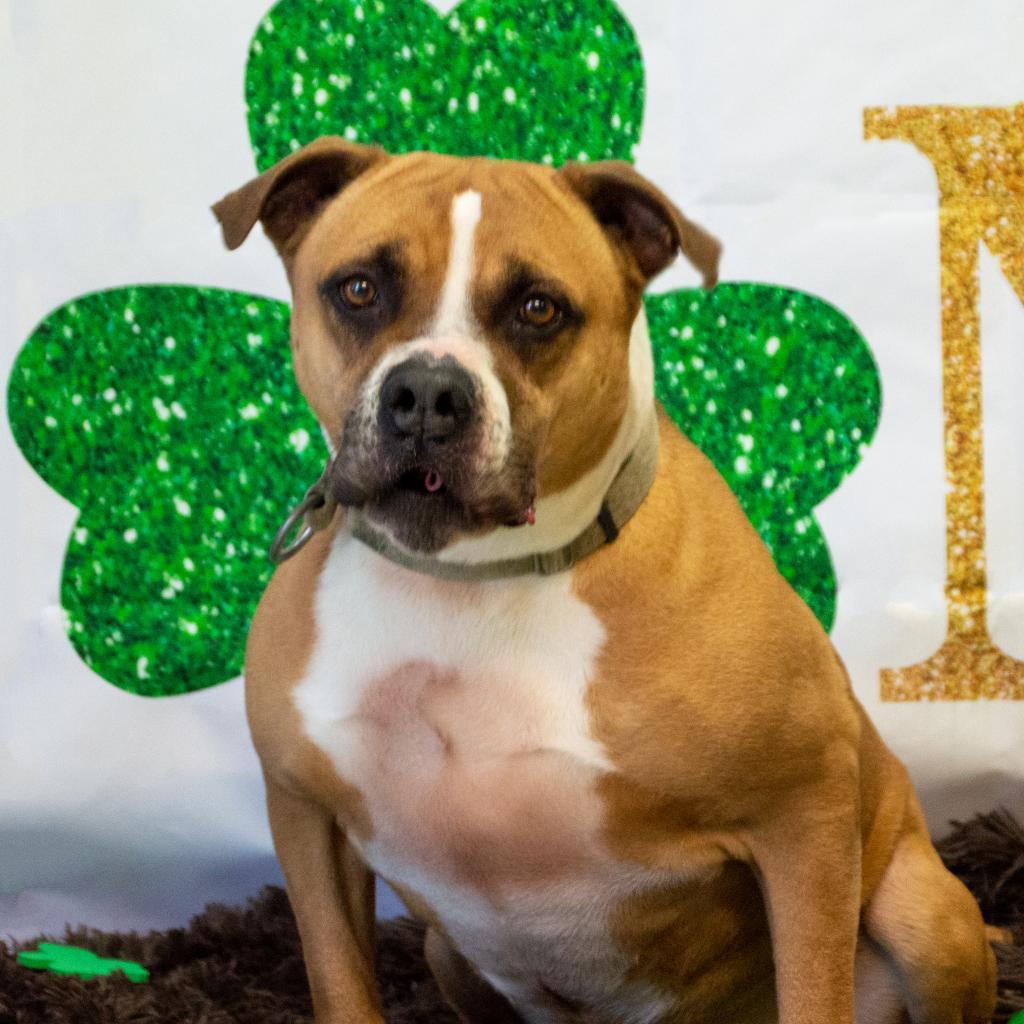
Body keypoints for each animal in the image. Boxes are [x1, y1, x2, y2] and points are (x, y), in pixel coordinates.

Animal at [214, 138, 999, 1024]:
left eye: (538, 308)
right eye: (358, 289)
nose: (427, 392)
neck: (472, 583)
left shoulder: (807, 811)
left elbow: (813, 991)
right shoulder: (306, 821)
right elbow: (341, 983)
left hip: (924, 914)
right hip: (443, 950)